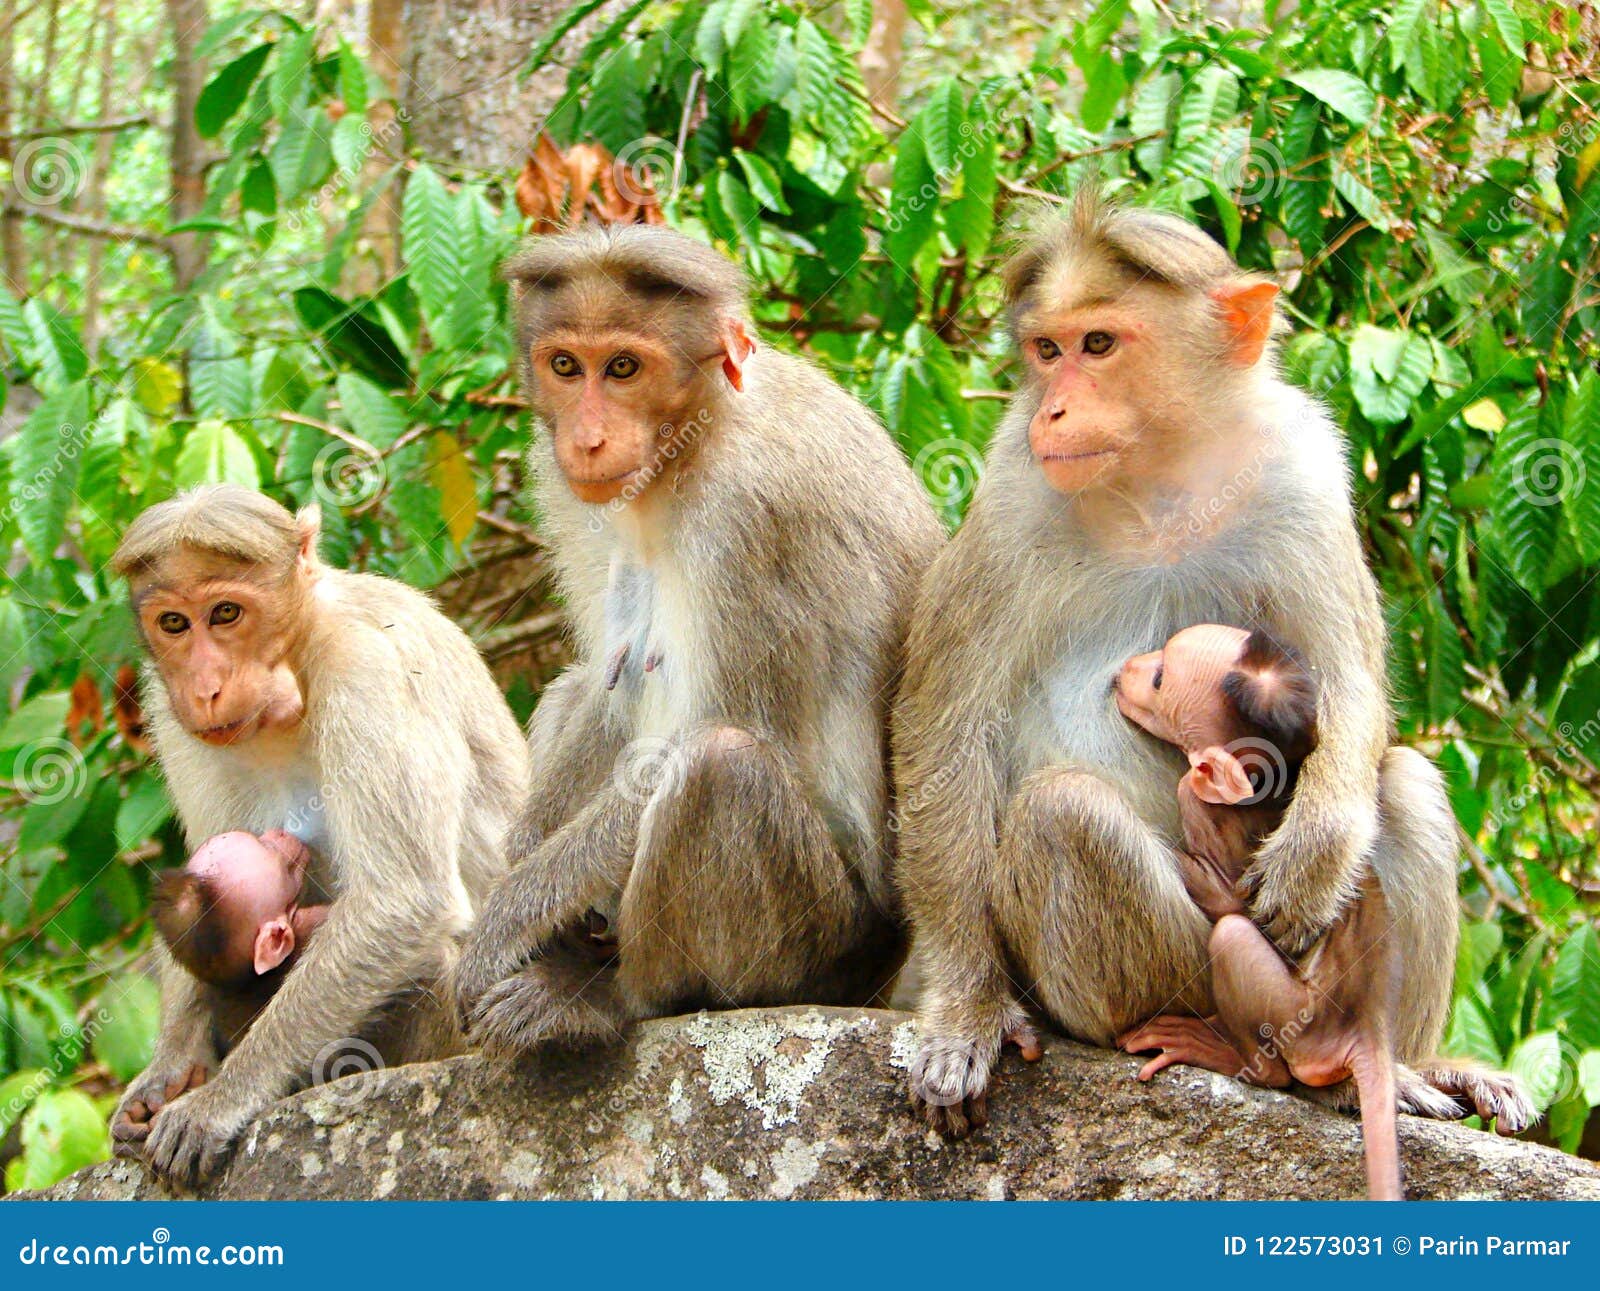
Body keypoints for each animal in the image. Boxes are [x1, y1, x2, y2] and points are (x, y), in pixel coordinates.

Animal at [112, 486, 524, 1183]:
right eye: (174, 624)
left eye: (226, 613)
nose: (205, 687)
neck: (299, 656)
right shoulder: (168, 713)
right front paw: (169, 1069)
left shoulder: (369, 667)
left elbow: (404, 898)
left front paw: (217, 1100)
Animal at [451, 223, 940, 1049]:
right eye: (565, 365)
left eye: (623, 367)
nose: (586, 437)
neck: (691, 448)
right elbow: (609, 697)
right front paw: (521, 865)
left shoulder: (757, 514)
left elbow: (717, 731)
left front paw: (502, 922)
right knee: (581, 688)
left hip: (828, 945)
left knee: (721, 765)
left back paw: (615, 997)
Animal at [896, 187, 1529, 1139]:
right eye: (1047, 349)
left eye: (1099, 344)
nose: (1052, 409)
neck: (1162, 480)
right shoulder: (1011, 495)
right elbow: (945, 735)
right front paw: (967, 1010)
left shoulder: (1305, 473)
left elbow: (1350, 686)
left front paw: (1317, 845)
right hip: (1196, 983)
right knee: (1061, 814)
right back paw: (1261, 1057)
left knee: (1407, 781)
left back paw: (1401, 1068)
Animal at [1113, 627, 1401, 1203]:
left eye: (1159, 679)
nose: (1125, 669)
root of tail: (1368, 1024)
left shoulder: (1197, 799)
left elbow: (1230, 901)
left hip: (1299, 1018)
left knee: (1231, 937)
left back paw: (1231, 1057)